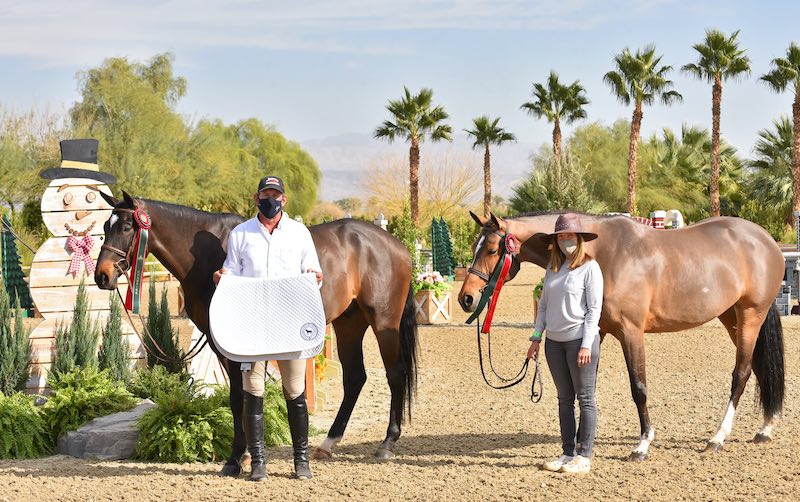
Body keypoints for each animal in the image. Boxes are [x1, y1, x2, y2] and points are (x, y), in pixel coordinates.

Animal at [94, 192, 418, 470]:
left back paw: (387, 443)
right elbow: (239, 397)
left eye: (126, 226)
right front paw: (245, 455)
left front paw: (240, 456)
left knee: (395, 374)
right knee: (354, 378)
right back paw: (328, 443)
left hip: (384, 323)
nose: (102, 276)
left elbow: (241, 397)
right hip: (349, 324)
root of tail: (397, 246)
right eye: (105, 227)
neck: (205, 255)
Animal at [460, 210, 784, 460]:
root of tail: (765, 240)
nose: (467, 299)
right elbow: (585, 386)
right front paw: (581, 442)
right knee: (758, 368)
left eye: (492, 250)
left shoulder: (631, 332)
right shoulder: (596, 331)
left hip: (750, 315)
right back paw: (766, 428)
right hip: (731, 317)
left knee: (741, 373)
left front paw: (642, 445)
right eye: (475, 246)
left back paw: (717, 438)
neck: (603, 254)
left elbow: (638, 387)